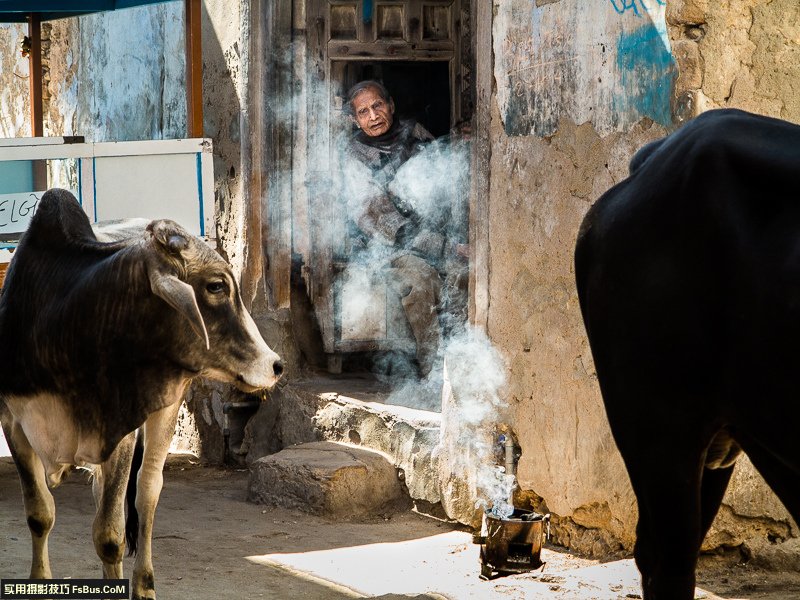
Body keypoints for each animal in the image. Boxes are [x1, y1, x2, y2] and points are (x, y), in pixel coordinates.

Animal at [0, 189, 282, 600]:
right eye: (216, 286)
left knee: (146, 494)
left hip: (163, 412)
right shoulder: (14, 421)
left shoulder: (121, 431)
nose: (275, 365)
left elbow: (110, 534)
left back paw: (145, 584)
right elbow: (40, 514)